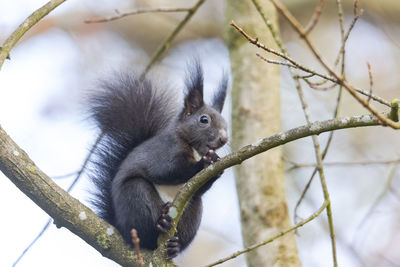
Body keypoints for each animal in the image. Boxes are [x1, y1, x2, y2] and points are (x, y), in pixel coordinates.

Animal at [89, 62, 230, 260]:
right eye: (204, 120)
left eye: (226, 123)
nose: (224, 138)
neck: (195, 149)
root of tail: (120, 227)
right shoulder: (164, 151)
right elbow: (168, 170)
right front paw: (204, 162)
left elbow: (201, 187)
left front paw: (217, 166)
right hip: (136, 196)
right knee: (144, 229)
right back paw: (161, 222)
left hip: (193, 210)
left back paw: (174, 246)